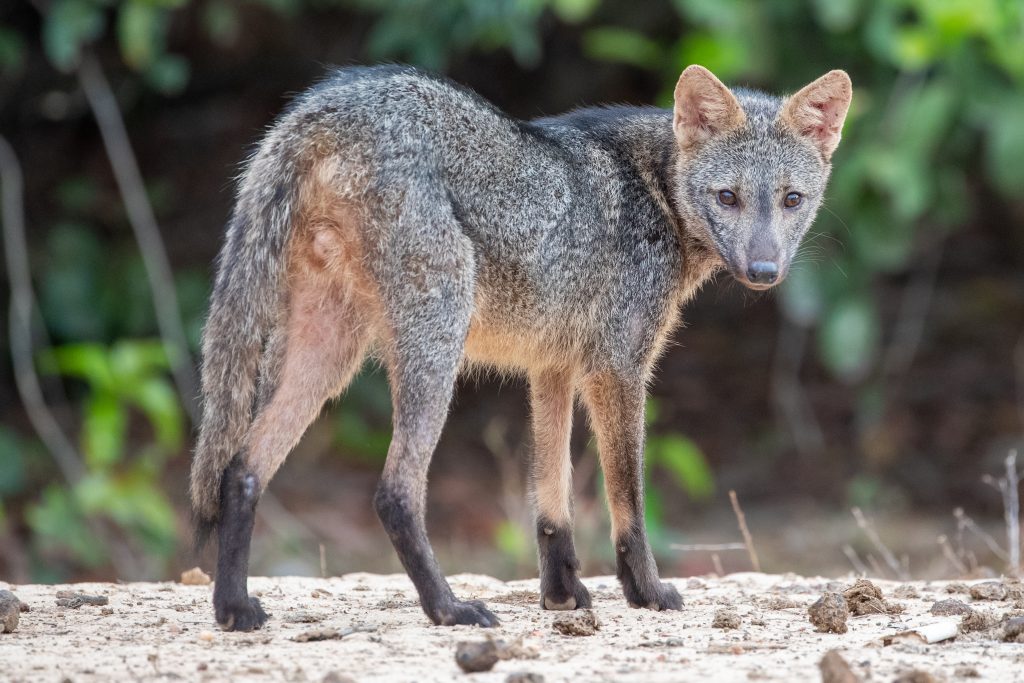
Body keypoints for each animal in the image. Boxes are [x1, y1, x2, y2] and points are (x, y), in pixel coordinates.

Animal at [188, 62, 851, 630]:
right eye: (727, 198)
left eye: (791, 200)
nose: (764, 271)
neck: (657, 191)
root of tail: (331, 101)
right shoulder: (617, 369)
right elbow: (629, 500)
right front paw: (646, 592)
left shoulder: (551, 367)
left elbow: (552, 499)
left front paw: (561, 594)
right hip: (434, 346)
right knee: (394, 493)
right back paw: (448, 609)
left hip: (329, 352)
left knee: (241, 469)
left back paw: (233, 609)